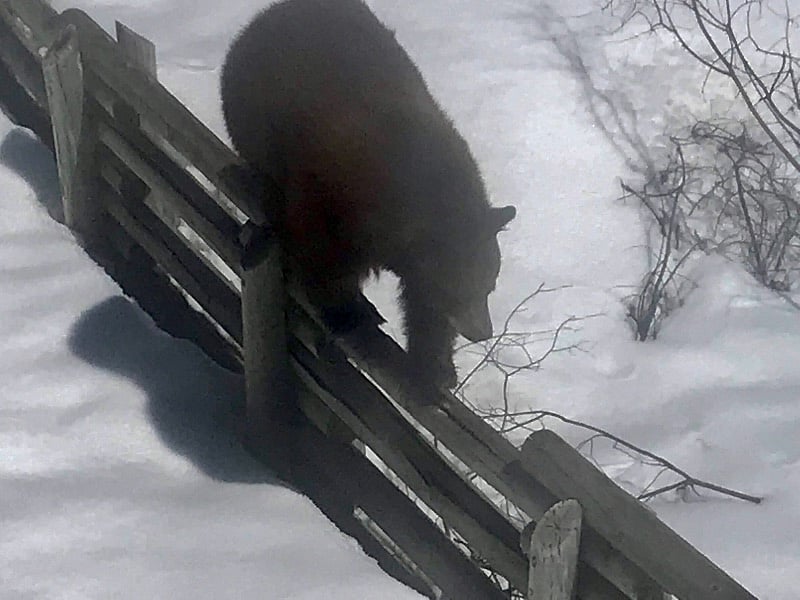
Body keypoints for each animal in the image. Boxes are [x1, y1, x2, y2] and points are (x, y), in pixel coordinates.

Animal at [220, 0, 515, 388]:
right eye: (460, 290)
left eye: (489, 284)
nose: (483, 331)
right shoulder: (330, 185)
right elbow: (320, 250)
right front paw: (348, 310)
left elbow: (422, 304)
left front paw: (436, 365)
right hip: (248, 113)